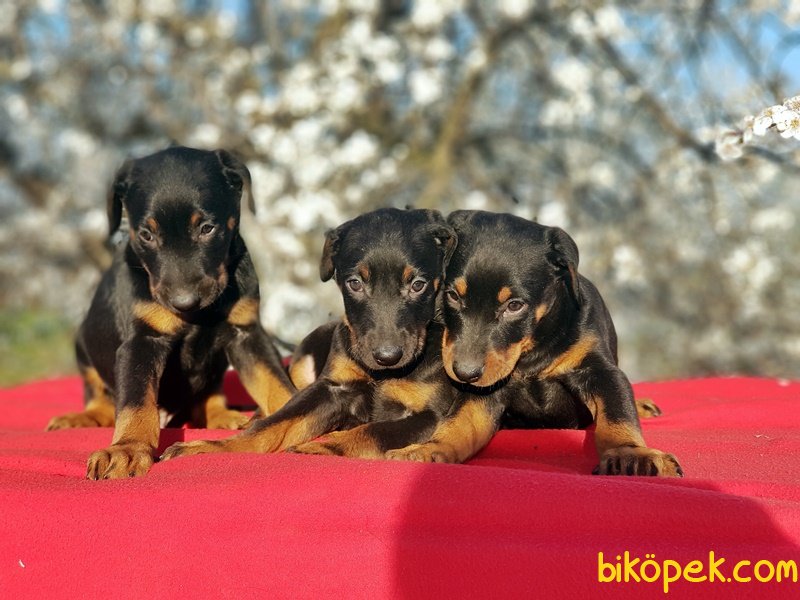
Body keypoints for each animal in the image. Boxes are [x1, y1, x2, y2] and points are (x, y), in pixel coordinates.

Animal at [46, 146, 296, 480]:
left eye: (207, 228)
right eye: (146, 235)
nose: (184, 302)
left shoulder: (247, 333)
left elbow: (275, 382)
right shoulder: (141, 342)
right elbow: (135, 402)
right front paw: (127, 449)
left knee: (207, 399)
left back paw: (226, 415)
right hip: (84, 345)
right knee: (101, 400)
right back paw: (81, 417)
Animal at [160, 208, 458, 461]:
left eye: (418, 285)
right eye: (355, 284)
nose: (387, 357)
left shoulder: (430, 415)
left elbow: (373, 431)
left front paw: (322, 447)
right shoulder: (331, 388)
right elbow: (275, 423)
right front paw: (214, 447)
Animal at [387, 210, 683, 477]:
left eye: (514, 306)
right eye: (453, 296)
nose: (464, 373)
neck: (530, 354)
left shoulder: (599, 371)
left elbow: (617, 413)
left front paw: (630, 455)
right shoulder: (485, 393)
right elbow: (459, 423)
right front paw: (428, 449)